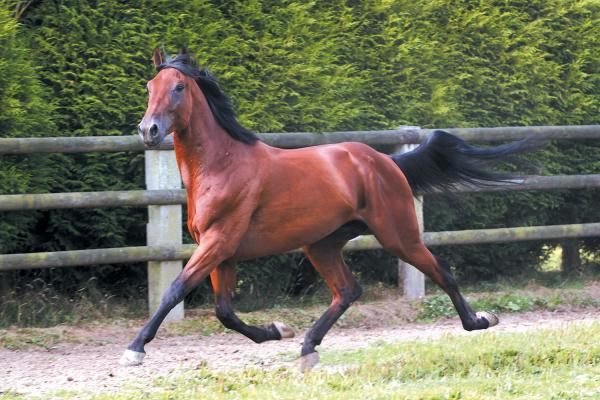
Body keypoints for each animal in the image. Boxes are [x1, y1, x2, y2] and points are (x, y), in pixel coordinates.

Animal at [120, 48, 536, 370]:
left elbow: (175, 290)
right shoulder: (222, 251)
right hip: (321, 244)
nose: (148, 130)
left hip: (398, 234)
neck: (221, 165)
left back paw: (479, 321)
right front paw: (277, 330)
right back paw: (307, 347)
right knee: (348, 290)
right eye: (149, 87)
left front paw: (135, 349)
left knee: (441, 270)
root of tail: (386, 162)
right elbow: (224, 311)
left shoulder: (218, 243)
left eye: (178, 87)